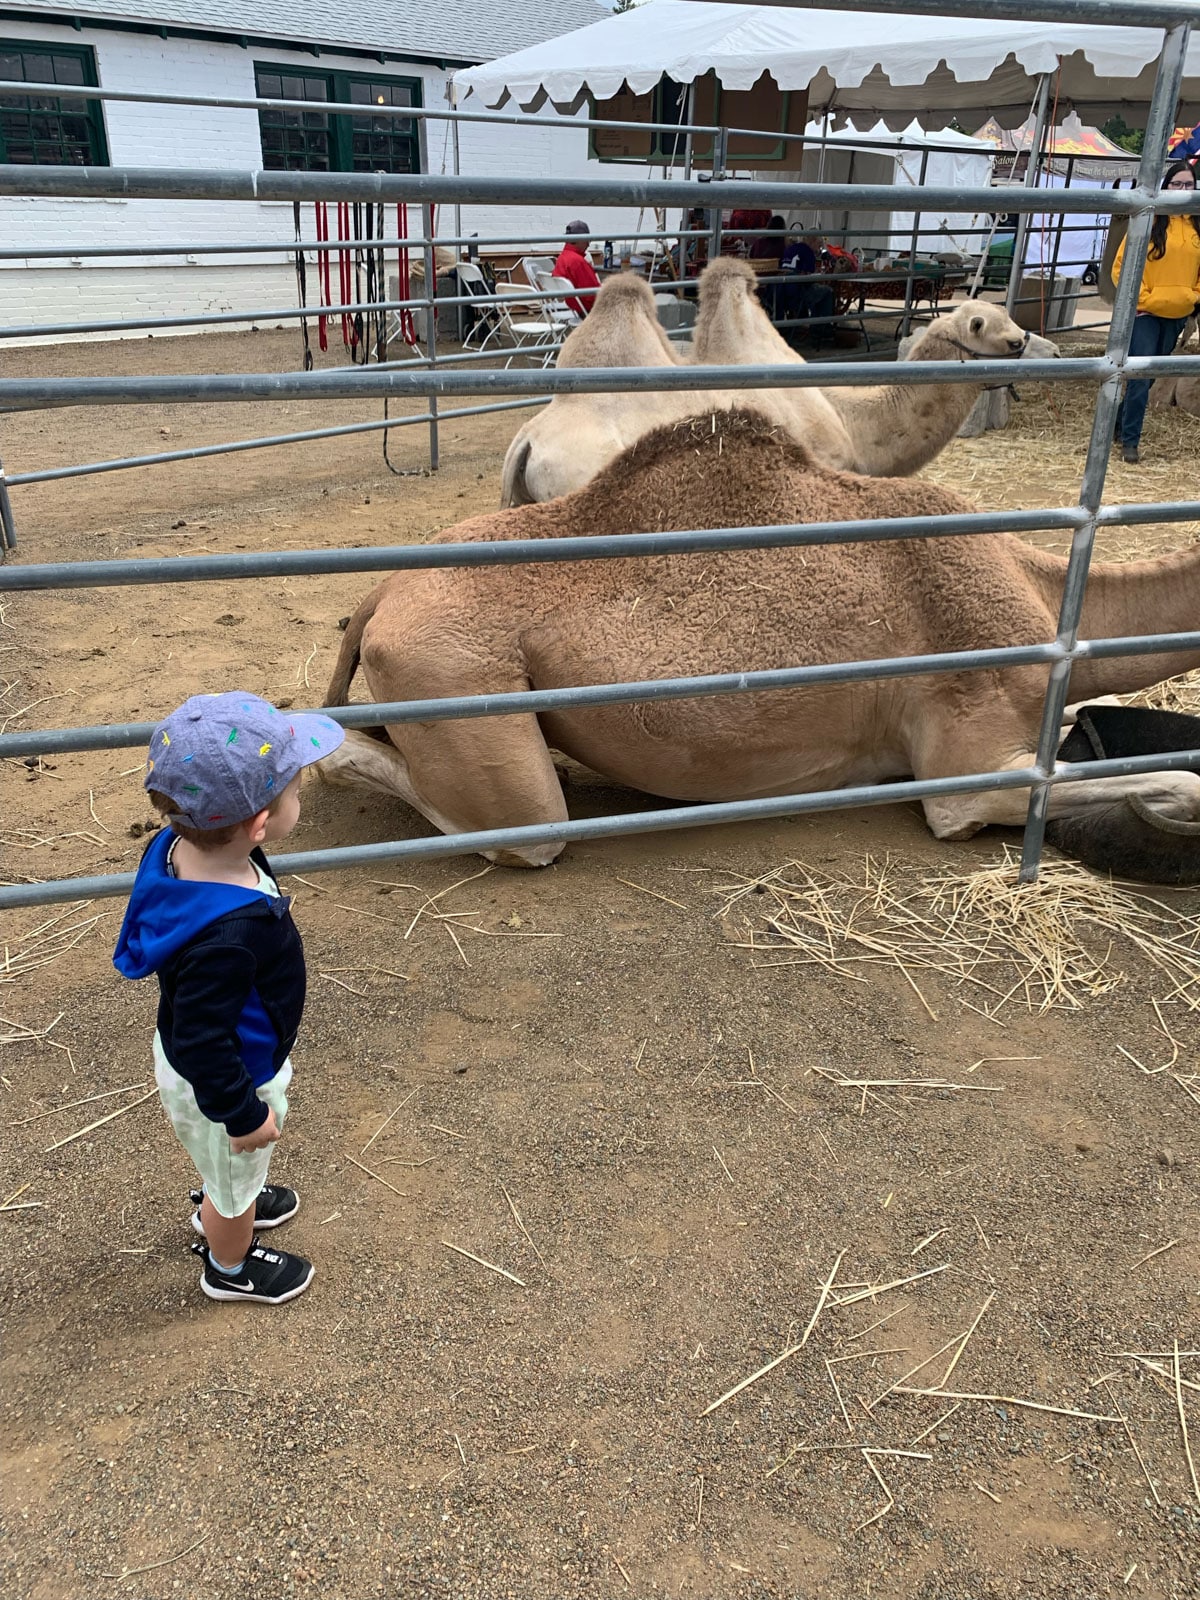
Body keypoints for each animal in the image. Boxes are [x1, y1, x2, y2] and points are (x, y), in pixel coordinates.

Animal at [321, 406, 1200, 870]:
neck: (1043, 590)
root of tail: (380, 594)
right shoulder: (967, 762)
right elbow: (1154, 782)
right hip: (458, 677)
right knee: (519, 822)